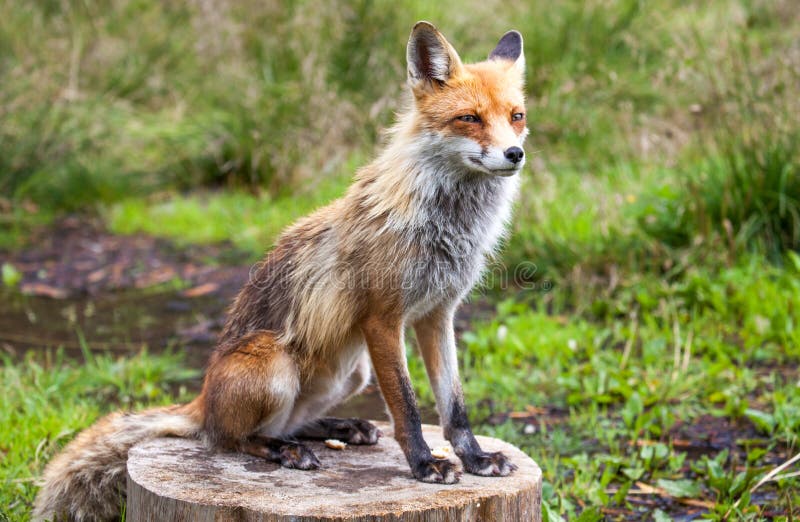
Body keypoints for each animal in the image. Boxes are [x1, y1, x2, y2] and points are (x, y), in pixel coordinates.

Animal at [34, 21, 528, 520]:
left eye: (516, 116)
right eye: (469, 118)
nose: (514, 153)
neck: (445, 224)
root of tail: (201, 402)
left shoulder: (437, 315)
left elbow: (454, 407)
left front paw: (475, 458)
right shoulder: (383, 318)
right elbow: (407, 409)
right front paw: (425, 465)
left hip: (352, 373)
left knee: (288, 423)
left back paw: (338, 429)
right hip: (276, 367)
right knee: (230, 440)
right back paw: (282, 450)